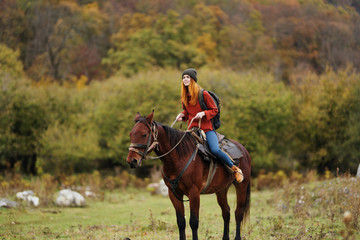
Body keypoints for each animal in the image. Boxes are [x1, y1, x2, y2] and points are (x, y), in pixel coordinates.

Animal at [126, 112, 250, 240]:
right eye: (131, 134)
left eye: (144, 134)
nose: (132, 161)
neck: (178, 159)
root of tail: (244, 150)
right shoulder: (173, 194)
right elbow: (181, 222)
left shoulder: (194, 193)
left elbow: (193, 222)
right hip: (221, 190)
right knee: (226, 212)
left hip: (242, 186)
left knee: (238, 213)